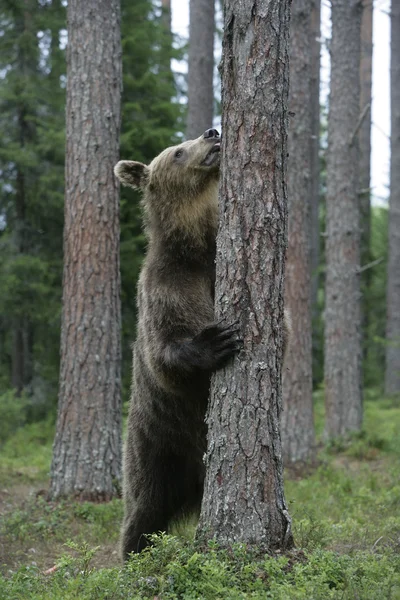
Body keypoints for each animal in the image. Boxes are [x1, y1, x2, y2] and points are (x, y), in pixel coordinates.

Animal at [115, 129, 241, 560]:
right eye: (177, 152)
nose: (212, 132)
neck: (197, 243)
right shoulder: (166, 285)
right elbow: (165, 353)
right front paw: (217, 339)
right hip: (155, 445)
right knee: (143, 510)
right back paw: (132, 556)